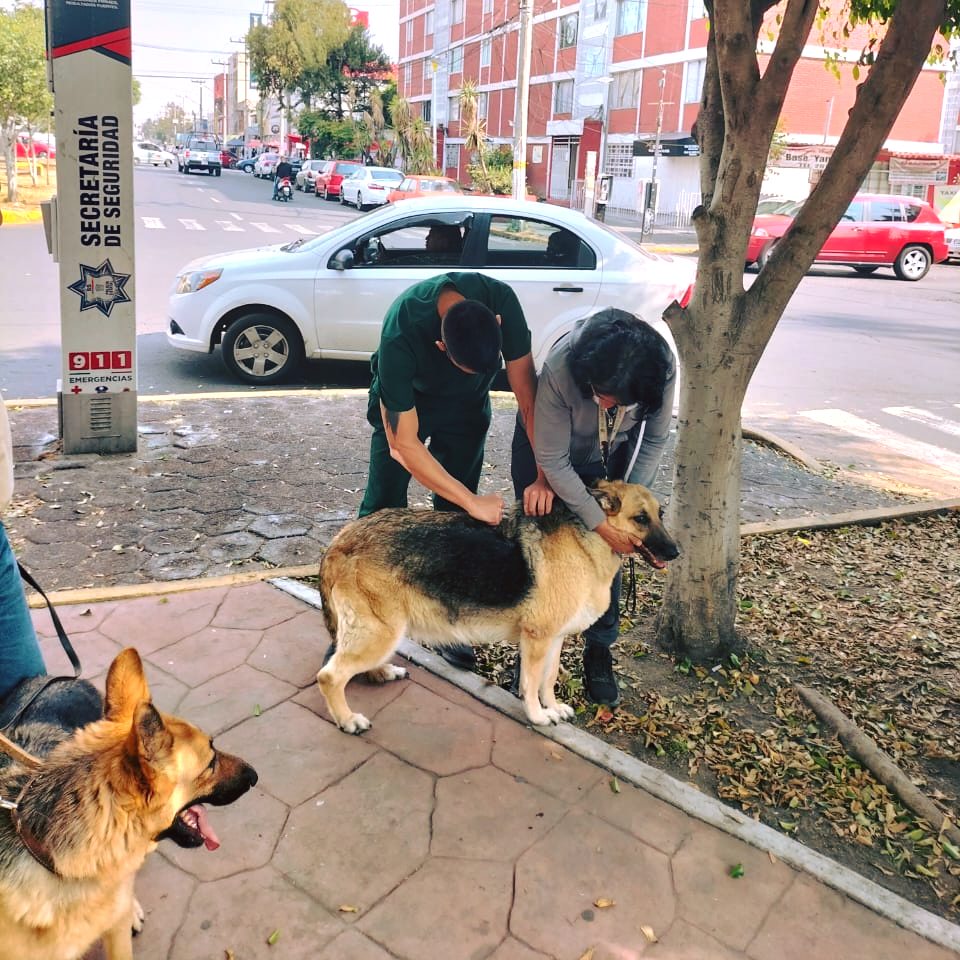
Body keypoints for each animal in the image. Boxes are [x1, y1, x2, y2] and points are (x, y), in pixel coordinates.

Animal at [318, 480, 680, 736]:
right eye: (640, 519)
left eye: (660, 515)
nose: (676, 552)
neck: (586, 538)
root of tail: (341, 539)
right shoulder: (536, 640)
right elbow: (530, 685)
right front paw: (538, 716)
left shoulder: (554, 639)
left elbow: (548, 679)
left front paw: (552, 707)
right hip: (381, 633)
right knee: (330, 676)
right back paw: (348, 720)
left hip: (381, 633)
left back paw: (382, 672)